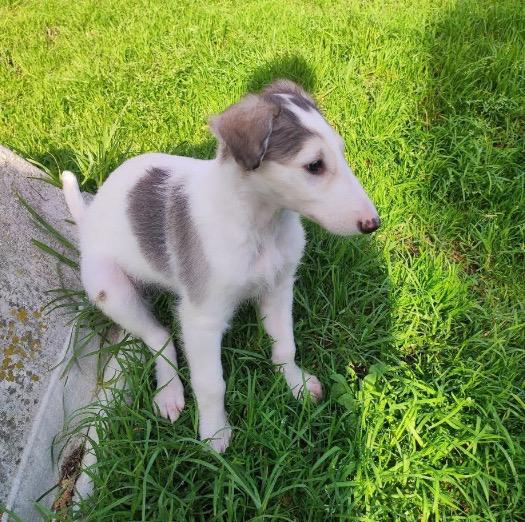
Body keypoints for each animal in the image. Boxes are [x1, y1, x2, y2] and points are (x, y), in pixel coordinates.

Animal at [63, 79, 378, 448]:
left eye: (341, 152)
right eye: (314, 165)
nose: (373, 224)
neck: (261, 226)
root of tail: (88, 217)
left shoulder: (279, 288)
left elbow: (285, 346)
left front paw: (296, 384)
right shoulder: (202, 319)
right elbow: (211, 383)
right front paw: (215, 432)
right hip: (110, 290)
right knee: (160, 336)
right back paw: (169, 392)